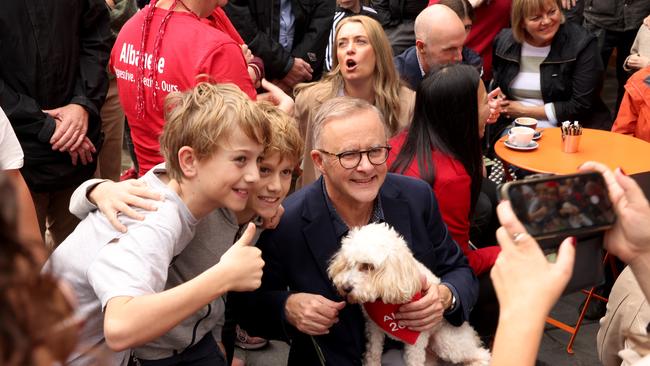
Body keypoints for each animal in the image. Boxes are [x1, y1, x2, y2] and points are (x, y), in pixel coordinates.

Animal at [326, 222, 488, 364]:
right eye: (348, 263)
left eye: (368, 266)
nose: (345, 288)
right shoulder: (374, 328)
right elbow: (373, 352)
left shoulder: (417, 339)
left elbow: (414, 361)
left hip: (447, 342)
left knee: (482, 354)